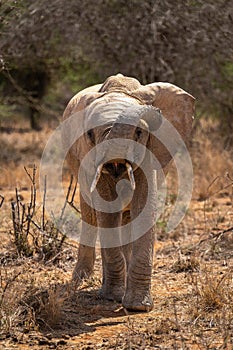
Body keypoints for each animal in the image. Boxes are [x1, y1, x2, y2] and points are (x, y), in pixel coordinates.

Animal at [62, 74, 195, 312]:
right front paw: (112, 297)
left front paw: (137, 307)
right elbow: (106, 211)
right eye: (89, 134)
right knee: (90, 214)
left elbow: (144, 206)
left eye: (139, 132)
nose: (155, 112)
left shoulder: (150, 151)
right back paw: (85, 280)